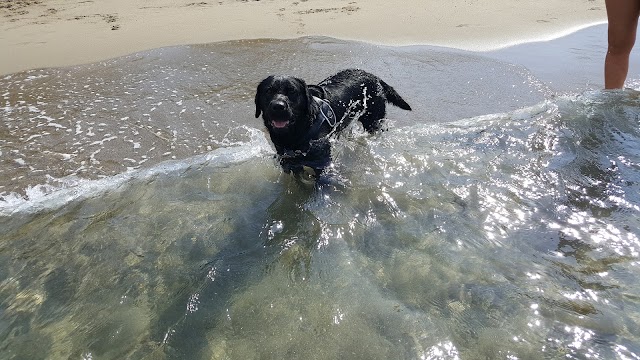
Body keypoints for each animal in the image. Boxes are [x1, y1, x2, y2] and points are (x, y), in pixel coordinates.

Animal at [252, 68, 412, 179]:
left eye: (292, 91)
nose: (278, 106)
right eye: (268, 91)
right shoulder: (289, 163)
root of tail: (373, 76)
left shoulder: (322, 163)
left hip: (373, 120)